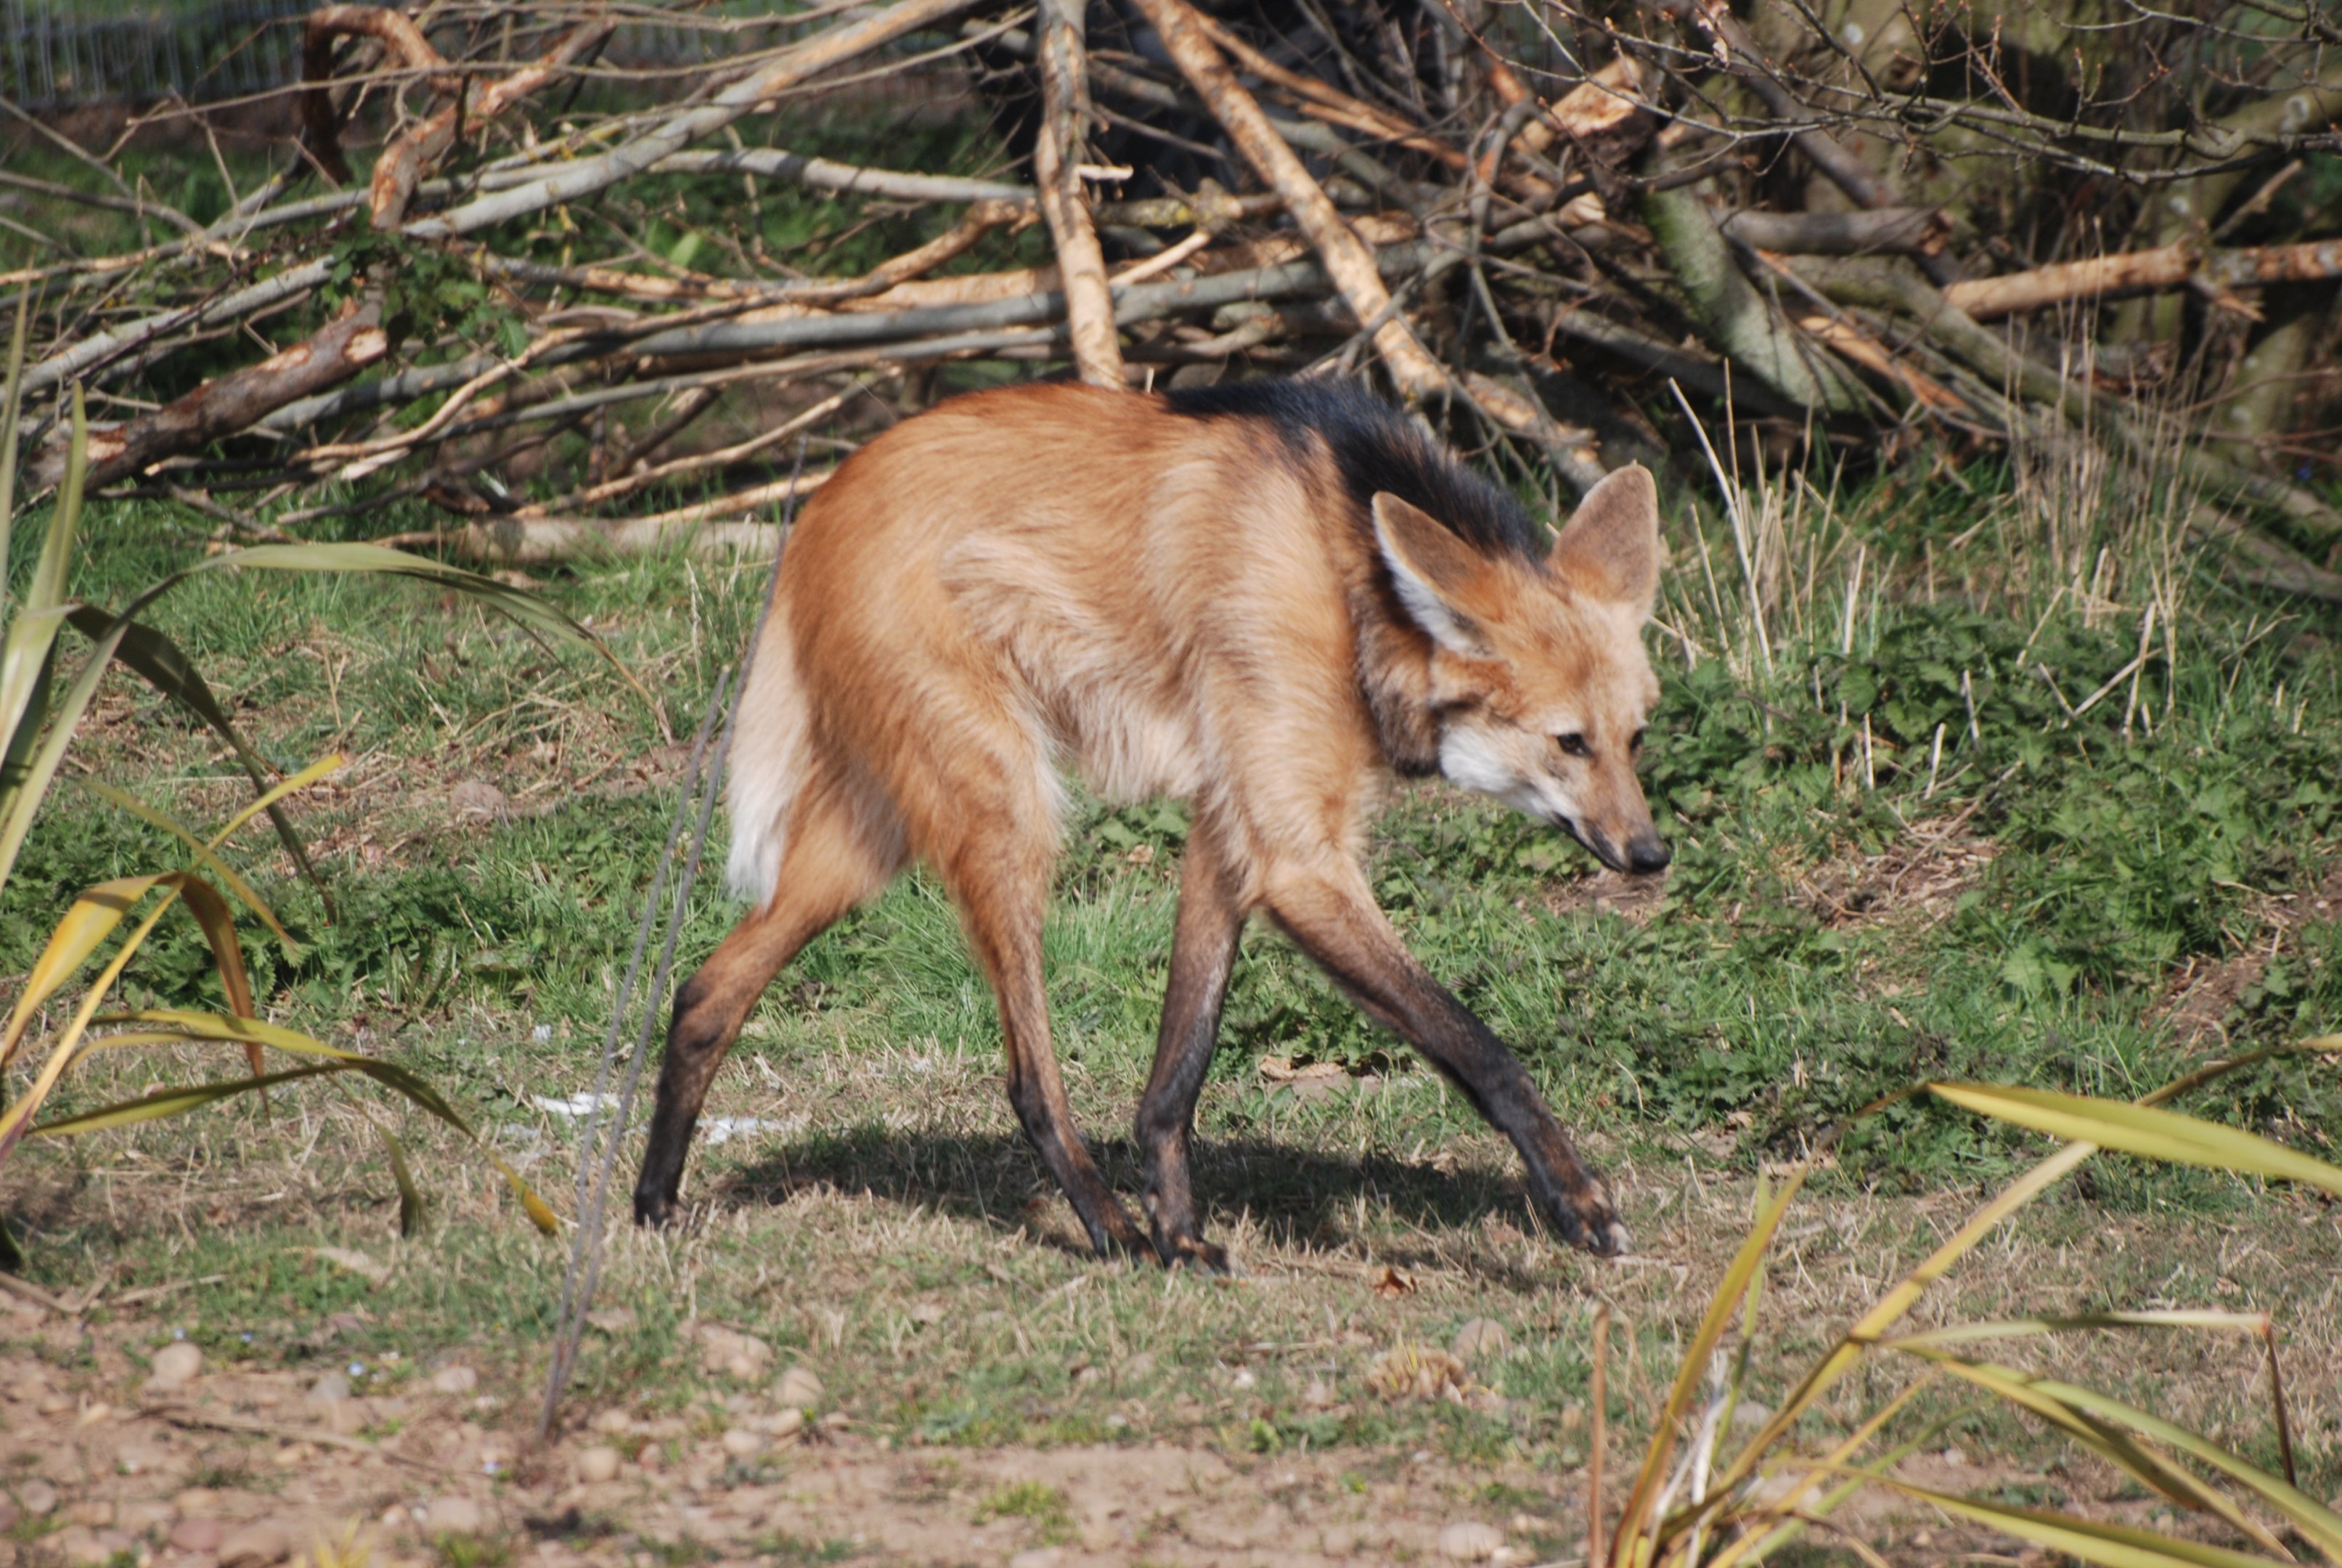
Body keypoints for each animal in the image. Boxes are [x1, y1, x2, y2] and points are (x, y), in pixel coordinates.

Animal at [634, 378, 1668, 1267]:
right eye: (1569, 743)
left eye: (1634, 738)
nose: (1650, 854)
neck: (1348, 574)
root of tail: (816, 508)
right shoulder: (1296, 860)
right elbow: (1480, 1047)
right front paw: (1579, 1204)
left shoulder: (1229, 832)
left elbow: (1182, 1063)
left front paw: (1180, 1229)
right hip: (1009, 808)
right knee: (1026, 1076)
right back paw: (1105, 1226)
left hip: (870, 842)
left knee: (706, 992)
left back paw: (653, 1201)